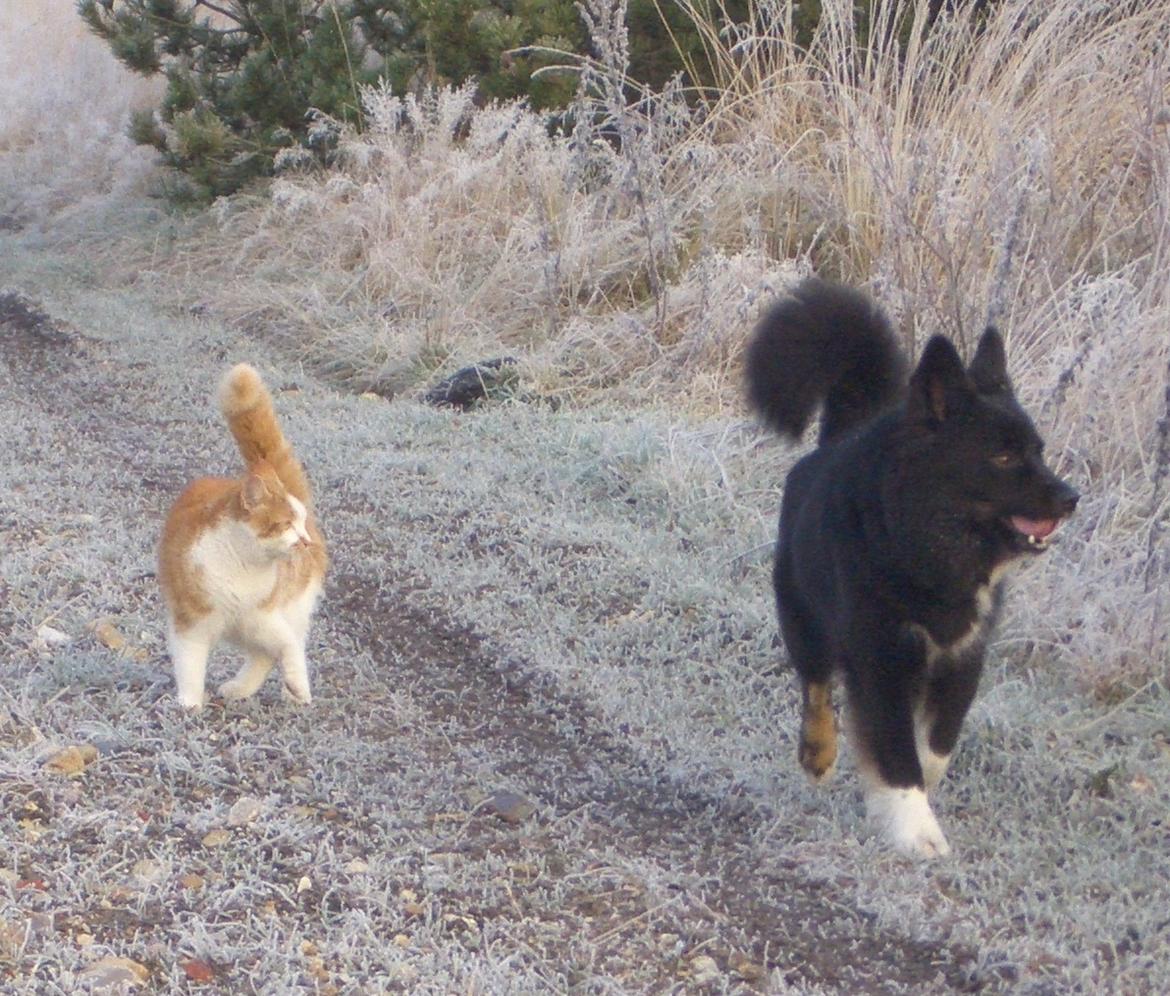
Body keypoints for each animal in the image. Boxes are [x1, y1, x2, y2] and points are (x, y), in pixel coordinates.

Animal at [157, 365, 327, 706]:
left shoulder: (264, 617)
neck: (242, 567)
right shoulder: (190, 622)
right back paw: (240, 688)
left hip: (280, 612)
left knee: (272, 651)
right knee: (262, 656)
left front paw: (298, 687)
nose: (305, 541)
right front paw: (189, 704)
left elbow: (289, 647)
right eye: (286, 524)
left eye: (300, 523)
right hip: (240, 628)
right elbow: (189, 664)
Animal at [748, 278, 1076, 856]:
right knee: (815, 685)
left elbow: (937, 742)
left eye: (1038, 450)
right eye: (1004, 457)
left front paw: (916, 782)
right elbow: (896, 749)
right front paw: (915, 828)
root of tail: (838, 437)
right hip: (801, 612)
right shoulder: (881, 657)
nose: (1071, 498)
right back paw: (817, 753)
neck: (921, 544)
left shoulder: (963, 656)